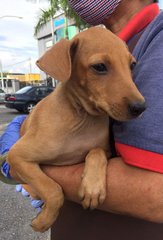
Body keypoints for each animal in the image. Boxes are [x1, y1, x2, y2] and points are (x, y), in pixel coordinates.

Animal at [7, 27, 146, 232]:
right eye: (99, 66)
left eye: (132, 65)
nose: (141, 108)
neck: (82, 118)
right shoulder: (16, 155)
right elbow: (53, 189)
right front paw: (43, 220)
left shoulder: (106, 151)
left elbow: (95, 152)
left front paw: (92, 187)